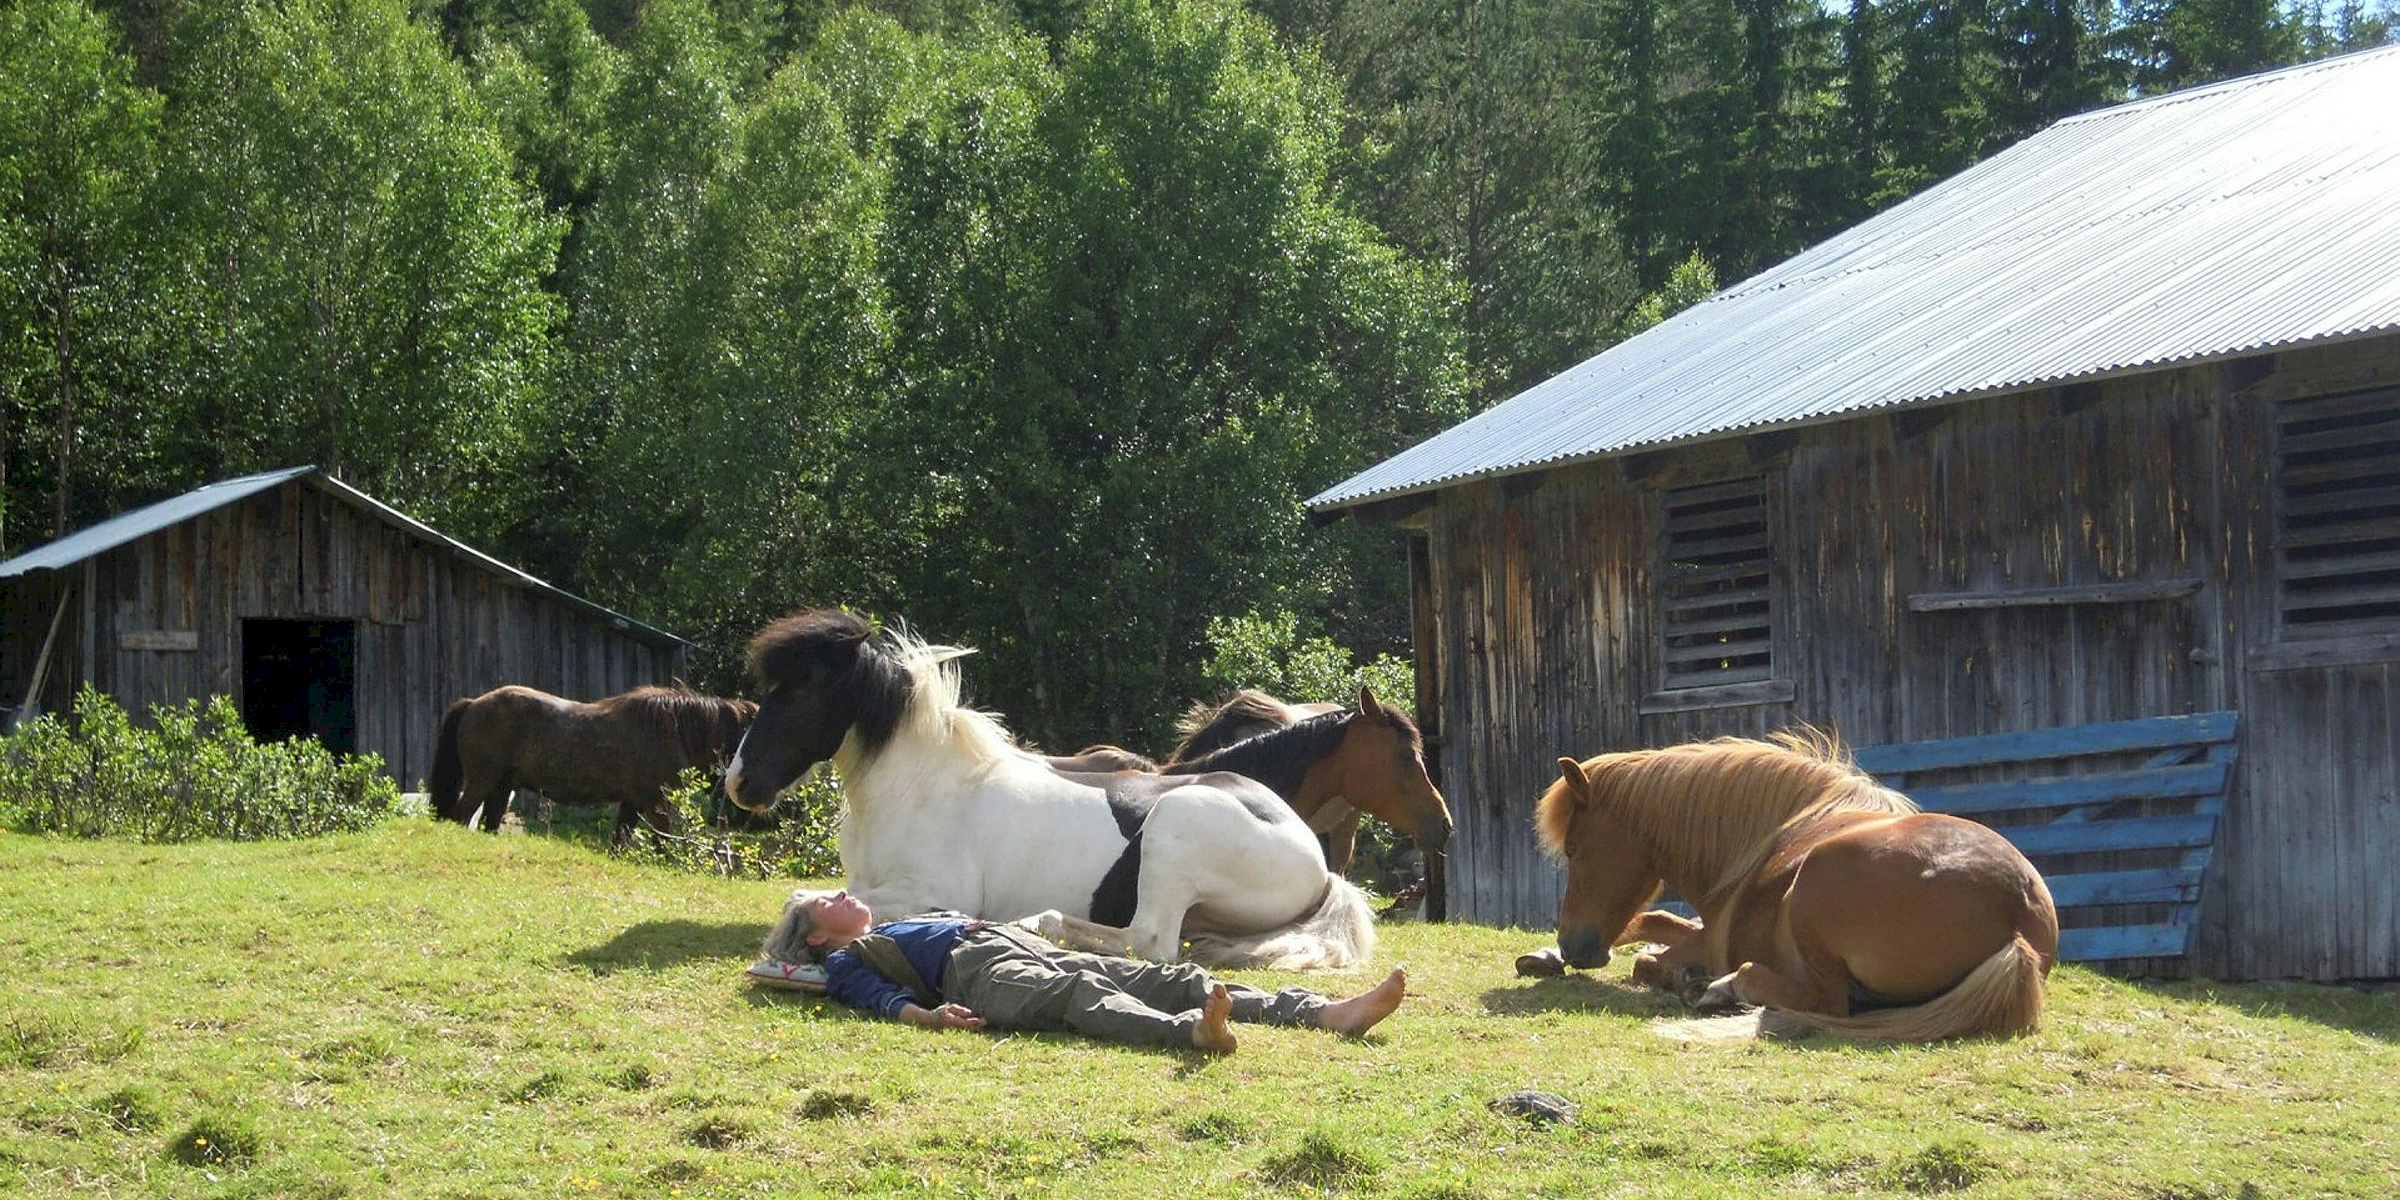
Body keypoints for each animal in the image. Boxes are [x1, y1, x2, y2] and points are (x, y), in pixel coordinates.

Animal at [427, 686, 753, 844]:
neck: (672, 729)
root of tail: (473, 703)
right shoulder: (657, 803)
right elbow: (662, 840)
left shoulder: (632, 803)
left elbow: (619, 842)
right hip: (481, 782)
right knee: (460, 816)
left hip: (502, 788)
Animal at [720, 614, 1382, 969]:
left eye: (802, 691)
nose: (739, 783)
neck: (921, 788)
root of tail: (1317, 861)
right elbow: (803, 897)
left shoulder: (930, 894)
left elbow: (801, 897)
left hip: (1176, 823)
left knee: (1150, 940)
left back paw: (1041, 923)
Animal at [1536, 729, 2064, 1041]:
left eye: (1575, 849)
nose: (1574, 945)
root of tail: (2018, 916)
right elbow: (1655, 919)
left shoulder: (1712, 941)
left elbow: (1648, 955)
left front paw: (1680, 973)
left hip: (1813, 888)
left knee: (1822, 1002)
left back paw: (1721, 987)